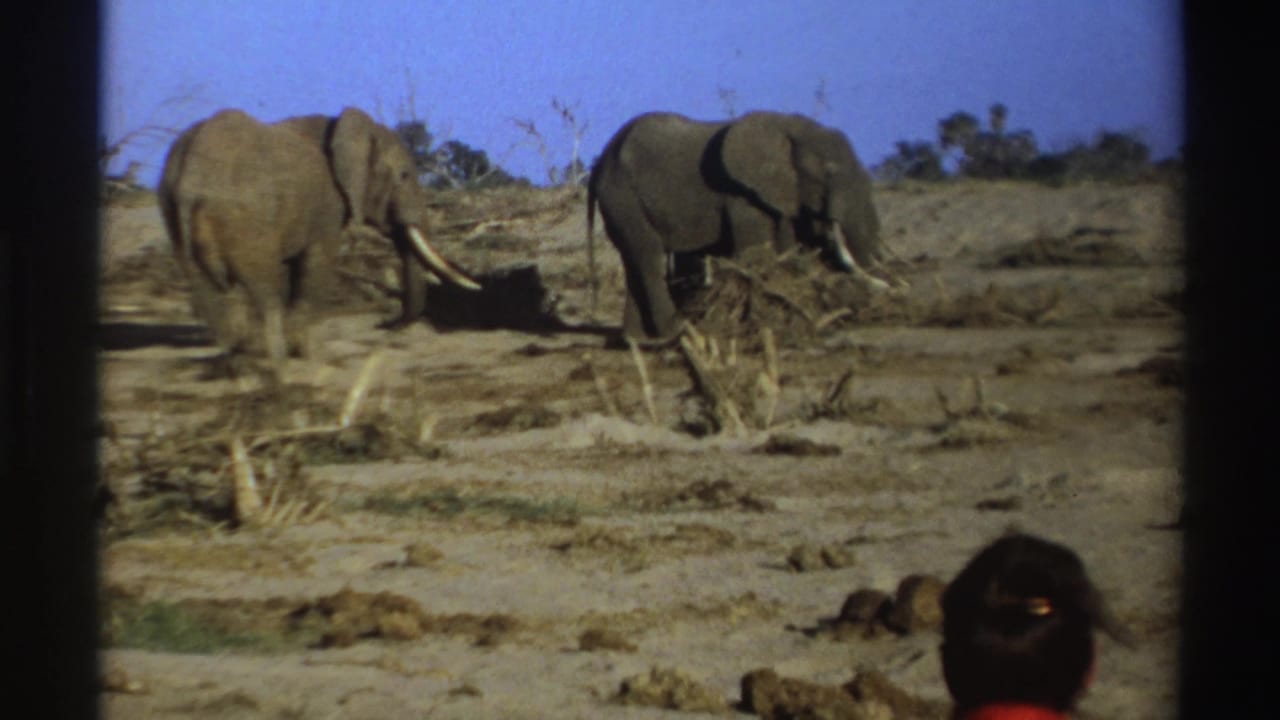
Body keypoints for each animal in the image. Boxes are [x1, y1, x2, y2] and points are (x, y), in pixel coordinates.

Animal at [158, 107, 480, 371]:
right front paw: (309, 356)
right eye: (403, 175)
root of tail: (190, 180)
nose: (384, 323)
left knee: (209, 288)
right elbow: (316, 264)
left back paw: (238, 359)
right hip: (245, 217)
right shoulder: (326, 207)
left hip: (174, 214)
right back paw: (274, 360)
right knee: (262, 285)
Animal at [587, 110, 896, 343]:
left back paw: (639, 342)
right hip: (623, 197)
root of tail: (601, 159)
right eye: (829, 173)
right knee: (648, 259)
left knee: (635, 262)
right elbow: (757, 253)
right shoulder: (742, 195)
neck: (789, 127)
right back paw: (677, 334)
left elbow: (786, 247)